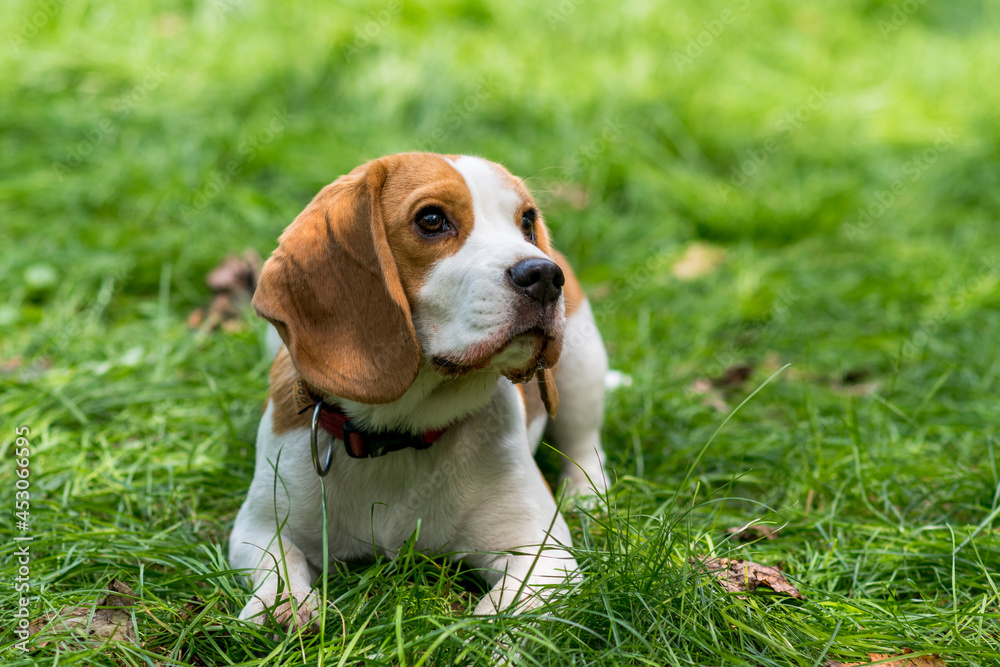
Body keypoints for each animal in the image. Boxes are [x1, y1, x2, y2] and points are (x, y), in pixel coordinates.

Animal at [232, 151, 608, 628]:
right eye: (431, 219)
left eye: (526, 220)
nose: (544, 272)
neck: (398, 436)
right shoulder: (257, 527)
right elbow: (281, 566)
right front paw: (286, 608)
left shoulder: (544, 558)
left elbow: (495, 620)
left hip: (581, 363)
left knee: (584, 443)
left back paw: (586, 495)